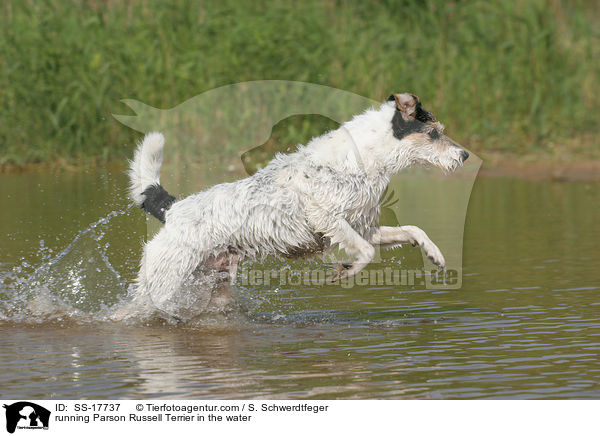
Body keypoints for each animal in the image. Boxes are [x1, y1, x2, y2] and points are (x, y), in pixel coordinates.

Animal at [129, 93, 472, 316]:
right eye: (433, 133)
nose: (465, 155)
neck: (363, 159)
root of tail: (172, 210)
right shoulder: (328, 219)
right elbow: (365, 253)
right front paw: (346, 271)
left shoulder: (363, 226)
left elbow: (413, 230)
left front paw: (435, 254)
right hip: (163, 282)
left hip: (216, 284)